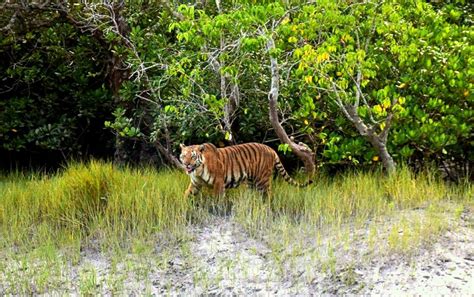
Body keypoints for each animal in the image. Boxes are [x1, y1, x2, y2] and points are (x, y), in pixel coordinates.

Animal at [178, 142, 312, 198]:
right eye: (183, 156)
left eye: (193, 156)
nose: (186, 164)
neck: (198, 170)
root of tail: (271, 149)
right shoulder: (195, 184)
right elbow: (186, 193)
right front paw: (183, 205)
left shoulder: (218, 183)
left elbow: (217, 199)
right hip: (251, 182)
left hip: (262, 180)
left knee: (268, 194)